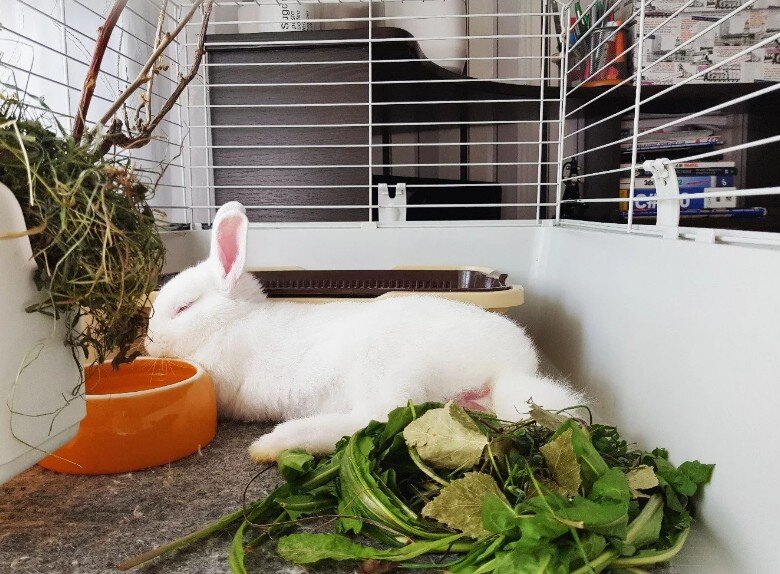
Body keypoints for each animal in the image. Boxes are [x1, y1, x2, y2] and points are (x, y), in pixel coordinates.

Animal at [146, 202, 585, 463]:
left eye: (183, 307)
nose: (148, 342)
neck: (231, 322)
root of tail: (507, 370)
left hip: (384, 367)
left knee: (375, 419)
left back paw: (274, 444)